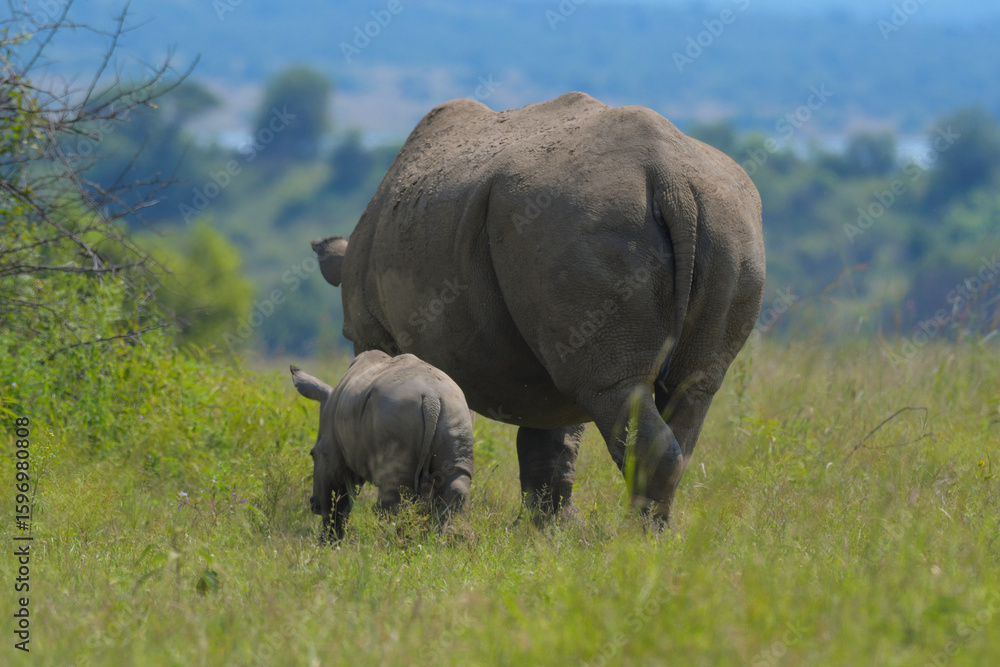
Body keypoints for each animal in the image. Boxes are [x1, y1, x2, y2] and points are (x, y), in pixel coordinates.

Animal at [291, 350, 475, 541]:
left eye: (312, 454)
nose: (313, 504)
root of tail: (432, 399)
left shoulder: (332, 450)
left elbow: (337, 493)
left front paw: (329, 540)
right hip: (455, 411)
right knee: (455, 479)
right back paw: (447, 540)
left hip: (395, 412)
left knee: (394, 489)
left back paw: (390, 541)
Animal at [312, 92, 765, 525]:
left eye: (346, 336)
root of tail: (672, 180)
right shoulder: (552, 343)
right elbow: (551, 439)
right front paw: (551, 530)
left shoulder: (377, 331)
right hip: (725, 225)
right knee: (691, 386)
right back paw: (654, 538)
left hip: (585, 222)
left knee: (617, 387)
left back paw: (633, 540)